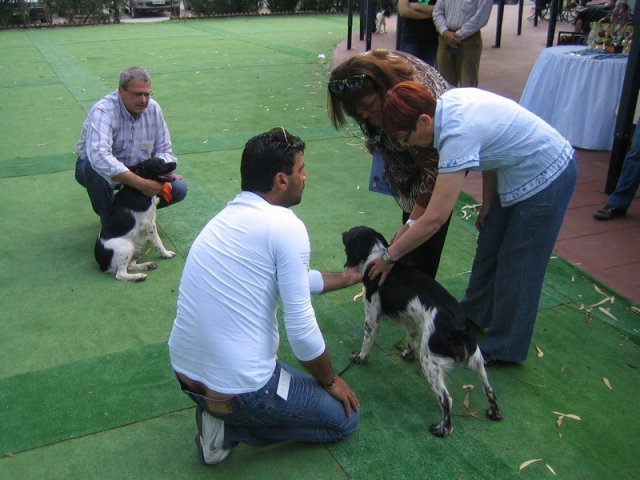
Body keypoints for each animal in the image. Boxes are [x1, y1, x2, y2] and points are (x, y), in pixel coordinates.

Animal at [342, 225, 502, 436]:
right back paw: (494, 413)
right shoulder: (412, 320)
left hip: (429, 360)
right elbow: (411, 338)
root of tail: (460, 327)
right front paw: (406, 354)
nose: (342, 233)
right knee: (489, 388)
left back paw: (442, 429)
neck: (376, 253)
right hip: (476, 358)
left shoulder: (372, 315)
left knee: (446, 399)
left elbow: (367, 341)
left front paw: (359, 358)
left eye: (350, 235)